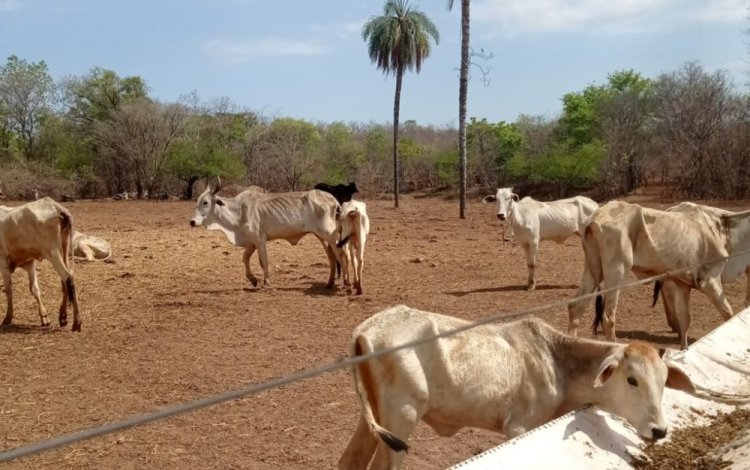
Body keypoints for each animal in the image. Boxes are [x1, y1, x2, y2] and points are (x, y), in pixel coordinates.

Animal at [0, 197, 82, 330]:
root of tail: (58, 208)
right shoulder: (29, 263)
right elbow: (34, 289)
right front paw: (44, 318)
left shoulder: (3, 261)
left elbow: (8, 290)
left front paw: (8, 317)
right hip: (64, 246)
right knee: (65, 280)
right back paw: (63, 317)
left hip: (52, 252)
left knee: (68, 278)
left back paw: (77, 321)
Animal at [191, 183, 350, 286]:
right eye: (198, 201)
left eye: (205, 202)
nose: (192, 222)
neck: (238, 211)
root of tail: (334, 200)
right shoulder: (251, 242)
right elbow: (245, 259)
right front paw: (253, 279)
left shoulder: (259, 239)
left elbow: (263, 261)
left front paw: (266, 281)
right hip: (322, 237)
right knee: (332, 256)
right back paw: (330, 283)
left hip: (330, 234)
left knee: (341, 253)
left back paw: (346, 282)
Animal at [340, 304, 692, 470]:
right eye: (632, 379)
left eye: (664, 380)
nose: (659, 430)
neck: (556, 360)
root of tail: (366, 329)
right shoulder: (519, 427)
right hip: (402, 418)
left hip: (373, 419)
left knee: (350, 461)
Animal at [568, 198, 750, 348]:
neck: (722, 229)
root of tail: (595, 218)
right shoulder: (709, 281)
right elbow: (728, 314)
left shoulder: (683, 284)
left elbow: (685, 319)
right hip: (617, 270)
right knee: (608, 318)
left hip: (593, 270)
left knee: (576, 307)